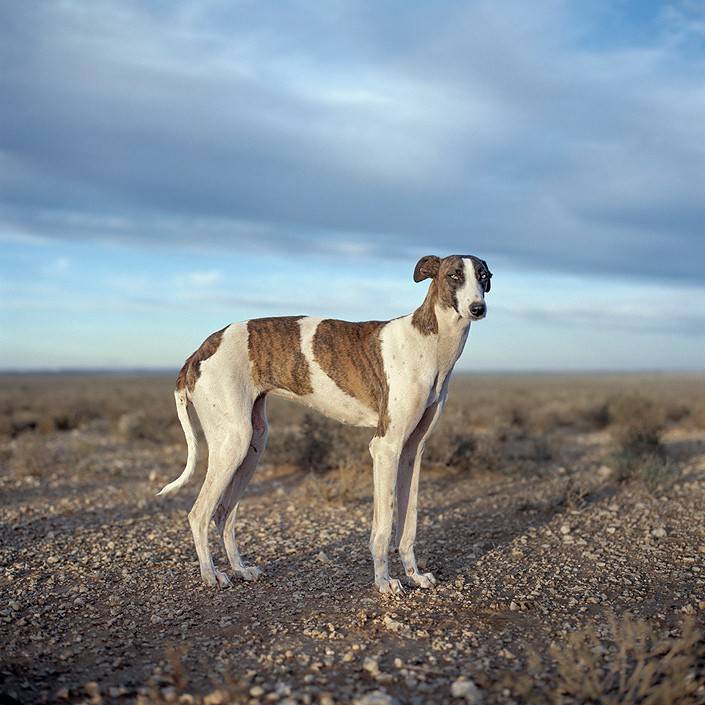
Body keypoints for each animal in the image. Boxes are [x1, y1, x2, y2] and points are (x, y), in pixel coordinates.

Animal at [158, 256, 490, 592]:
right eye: (454, 275)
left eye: (484, 276)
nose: (478, 308)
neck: (429, 342)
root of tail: (198, 353)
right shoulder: (385, 447)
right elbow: (383, 528)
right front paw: (384, 582)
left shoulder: (412, 451)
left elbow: (408, 524)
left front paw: (415, 575)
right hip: (233, 443)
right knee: (199, 514)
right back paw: (211, 574)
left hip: (253, 444)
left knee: (224, 513)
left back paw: (240, 569)